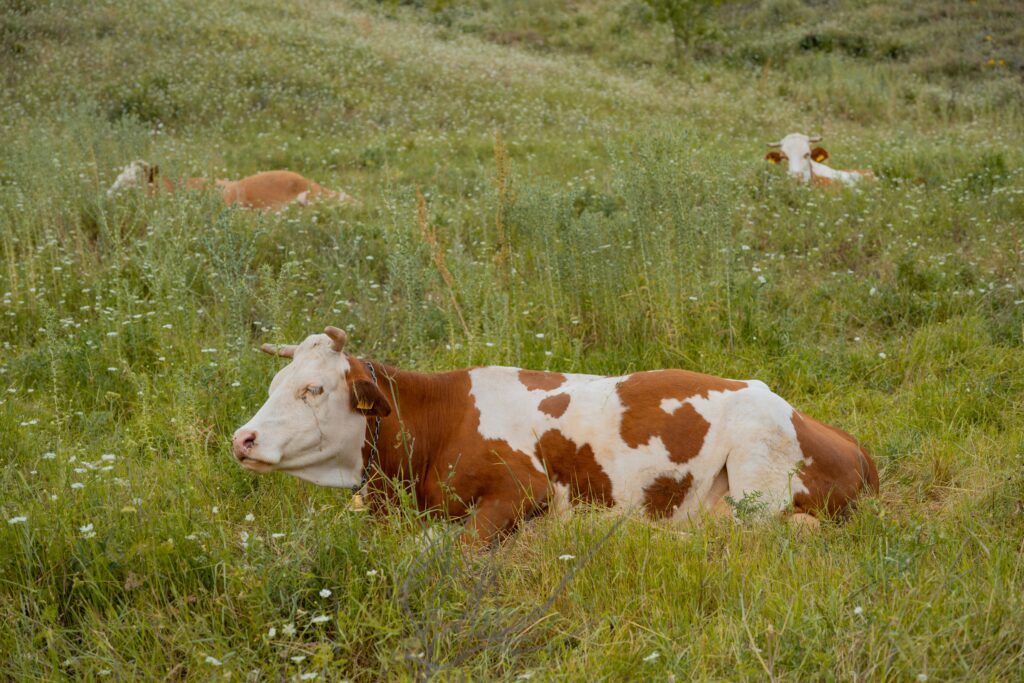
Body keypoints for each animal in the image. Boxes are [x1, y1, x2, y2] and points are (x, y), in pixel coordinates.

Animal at [232, 325, 880, 544]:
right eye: (275, 381)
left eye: (314, 389)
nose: (242, 439)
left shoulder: (525, 490)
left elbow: (457, 546)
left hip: (755, 471)